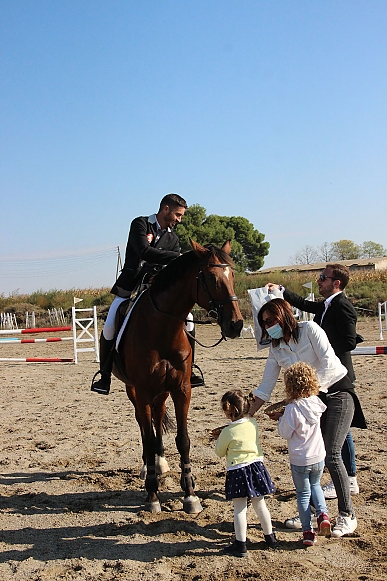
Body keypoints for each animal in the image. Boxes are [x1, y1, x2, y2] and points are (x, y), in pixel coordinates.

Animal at [112, 239, 244, 512]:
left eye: (233, 275)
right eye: (211, 277)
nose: (236, 324)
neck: (163, 328)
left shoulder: (181, 389)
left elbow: (183, 440)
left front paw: (190, 495)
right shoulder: (142, 391)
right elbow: (148, 438)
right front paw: (152, 494)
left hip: (161, 392)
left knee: (158, 417)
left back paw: (160, 463)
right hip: (134, 391)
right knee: (144, 427)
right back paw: (148, 467)